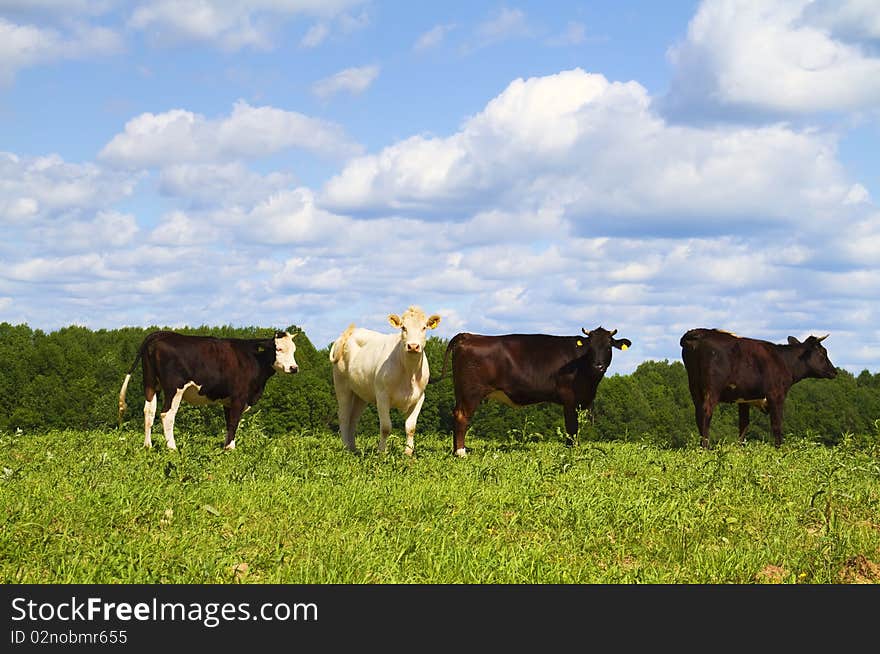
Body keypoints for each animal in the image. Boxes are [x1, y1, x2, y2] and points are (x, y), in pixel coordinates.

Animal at [117, 334, 300, 452]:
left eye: (294, 350)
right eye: (279, 349)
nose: (294, 368)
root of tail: (159, 334)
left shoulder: (228, 401)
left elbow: (228, 423)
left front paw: (226, 447)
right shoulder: (239, 398)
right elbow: (234, 422)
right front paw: (231, 449)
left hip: (150, 383)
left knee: (149, 411)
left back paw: (147, 445)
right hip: (174, 388)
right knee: (166, 414)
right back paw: (172, 447)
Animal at [330, 306, 440, 456]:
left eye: (424, 327)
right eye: (403, 327)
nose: (413, 346)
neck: (409, 373)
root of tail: (349, 332)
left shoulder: (420, 397)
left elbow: (411, 427)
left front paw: (408, 452)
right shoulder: (382, 396)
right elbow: (386, 427)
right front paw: (382, 452)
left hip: (360, 394)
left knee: (353, 418)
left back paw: (353, 449)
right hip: (342, 385)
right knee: (344, 417)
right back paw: (346, 447)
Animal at [434, 326, 632, 456]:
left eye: (608, 346)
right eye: (590, 347)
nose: (598, 365)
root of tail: (468, 336)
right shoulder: (569, 399)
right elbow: (571, 427)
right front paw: (571, 450)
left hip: (461, 392)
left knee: (456, 414)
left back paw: (455, 450)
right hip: (471, 392)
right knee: (462, 416)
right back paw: (461, 452)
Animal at [680, 328, 840, 452]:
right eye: (823, 352)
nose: (834, 371)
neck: (784, 361)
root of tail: (698, 333)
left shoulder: (743, 399)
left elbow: (743, 426)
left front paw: (740, 450)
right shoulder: (776, 395)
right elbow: (777, 424)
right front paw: (779, 450)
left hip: (694, 388)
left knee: (698, 414)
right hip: (712, 389)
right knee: (706, 413)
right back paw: (706, 448)